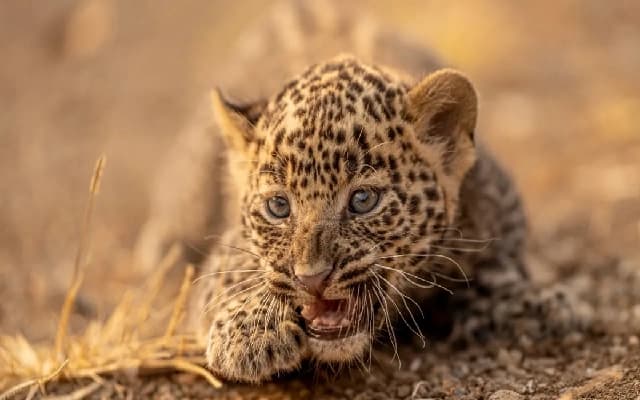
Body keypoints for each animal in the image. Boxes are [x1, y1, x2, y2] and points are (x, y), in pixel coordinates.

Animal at [135, 0, 589, 384]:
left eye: (363, 201)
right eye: (279, 206)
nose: (312, 280)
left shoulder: (501, 216)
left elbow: (499, 274)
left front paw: (541, 304)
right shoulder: (228, 248)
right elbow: (236, 270)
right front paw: (250, 332)